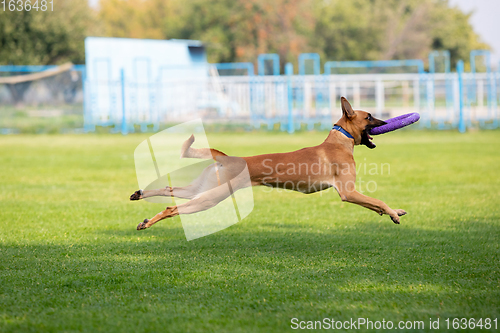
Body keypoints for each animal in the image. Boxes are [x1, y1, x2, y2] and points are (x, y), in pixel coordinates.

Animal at [132, 97, 406, 230]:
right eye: (369, 117)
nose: (385, 122)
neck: (340, 140)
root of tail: (227, 157)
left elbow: (376, 205)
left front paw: (393, 211)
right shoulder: (348, 192)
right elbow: (378, 201)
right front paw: (393, 213)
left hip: (202, 189)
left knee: (170, 190)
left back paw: (140, 194)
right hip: (212, 197)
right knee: (172, 208)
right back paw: (148, 222)